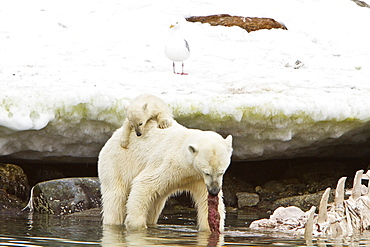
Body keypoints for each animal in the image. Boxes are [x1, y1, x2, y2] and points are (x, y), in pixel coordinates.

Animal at [98, 118, 231, 233]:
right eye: (207, 172)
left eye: (222, 171)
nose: (214, 191)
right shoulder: (169, 163)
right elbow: (144, 183)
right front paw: (136, 225)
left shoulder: (197, 179)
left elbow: (205, 202)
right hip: (116, 163)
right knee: (115, 199)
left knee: (155, 204)